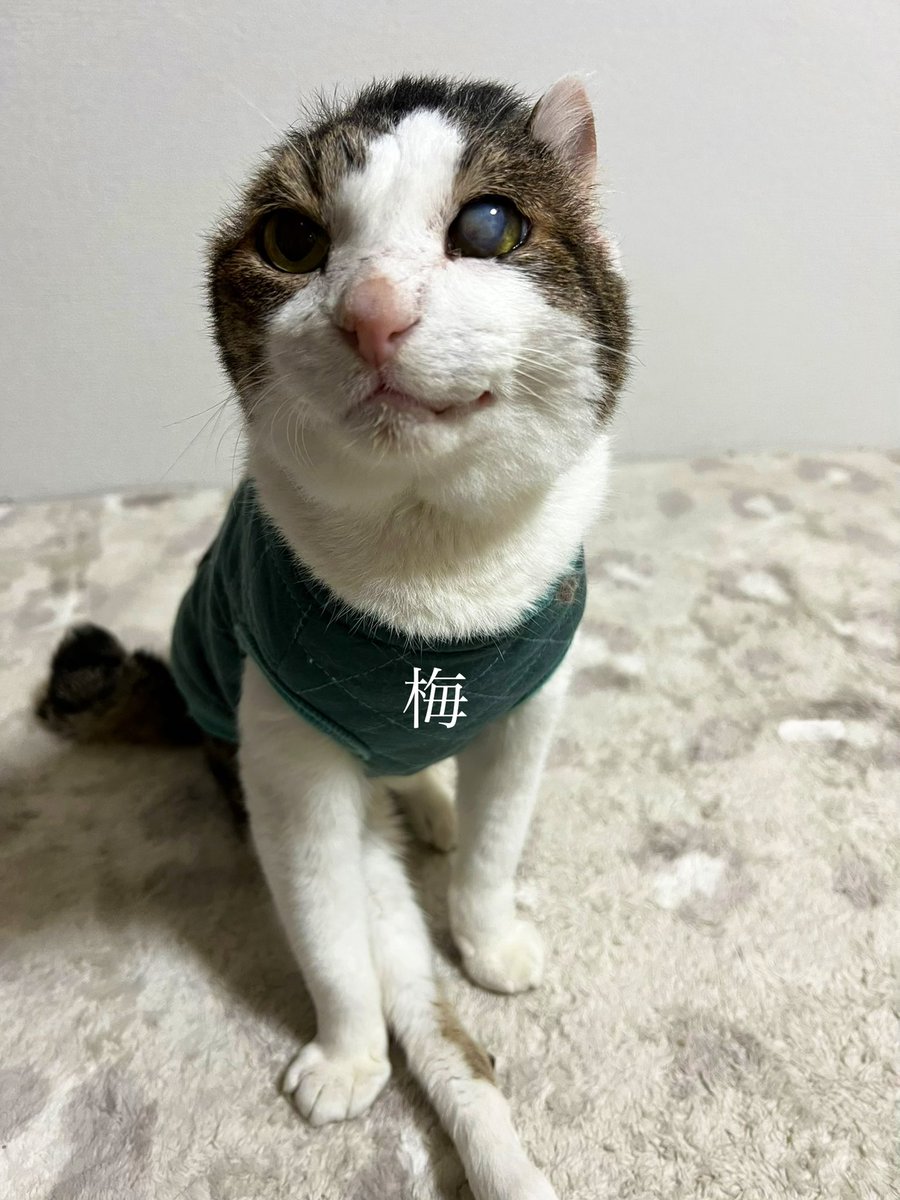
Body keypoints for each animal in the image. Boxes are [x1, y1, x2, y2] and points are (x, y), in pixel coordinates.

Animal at [37, 74, 631, 1200]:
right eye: (292, 240)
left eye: (490, 226)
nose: (373, 311)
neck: (430, 583)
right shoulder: (289, 764)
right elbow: (335, 938)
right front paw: (350, 1053)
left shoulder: (531, 706)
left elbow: (495, 845)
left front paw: (489, 937)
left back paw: (434, 807)